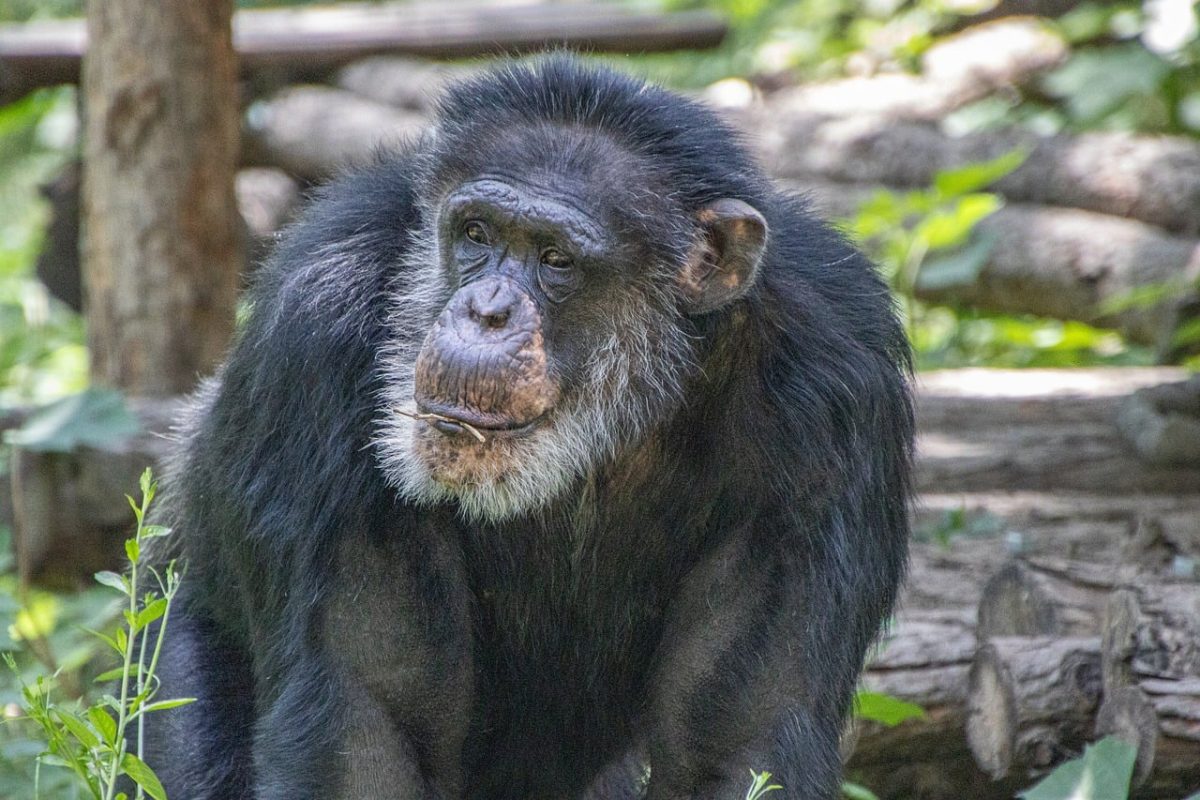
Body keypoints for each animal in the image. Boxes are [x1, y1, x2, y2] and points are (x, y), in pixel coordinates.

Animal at [142, 55, 913, 800]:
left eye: (556, 259)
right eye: (476, 234)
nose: (486, 311)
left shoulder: (838, 391)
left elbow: (736, 743)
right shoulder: (314, 325)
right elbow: (372, 723)